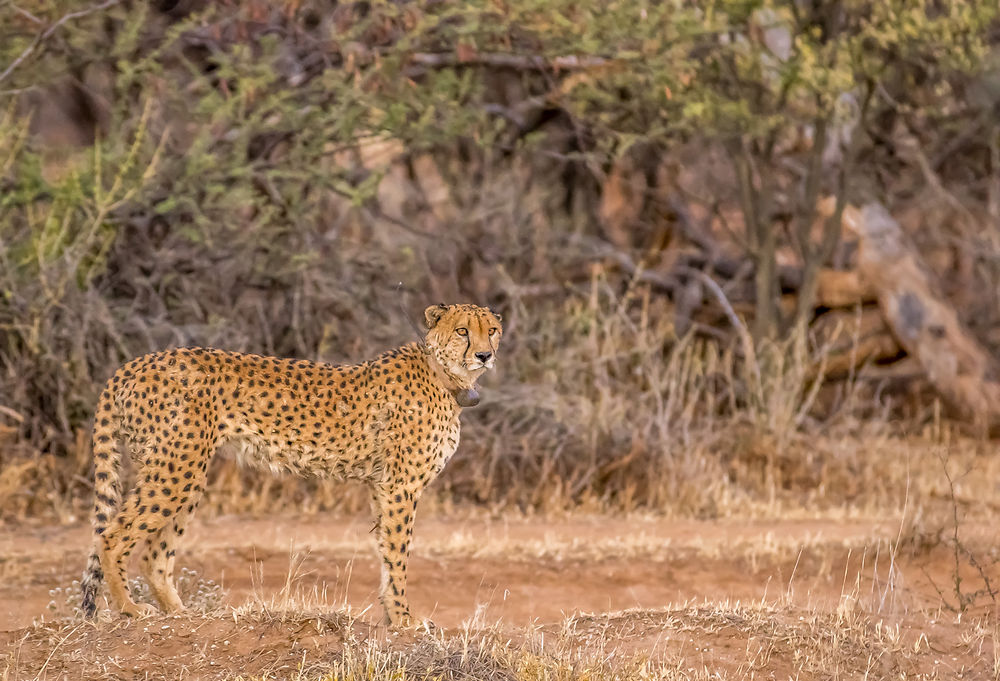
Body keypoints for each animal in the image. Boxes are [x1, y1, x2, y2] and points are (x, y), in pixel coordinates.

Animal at [79, 304, 504, 628]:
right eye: (463, 331)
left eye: (493, 331)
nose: (485, 355)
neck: (445, 374)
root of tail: (133, 363)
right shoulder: (401, 486)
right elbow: (398, 556)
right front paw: (404, 619)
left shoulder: (382, 486)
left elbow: (386, 551)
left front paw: (391, 616)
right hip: (175, 467)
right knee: (111, 536)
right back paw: (130, 609)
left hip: (185, 472)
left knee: (154, 552)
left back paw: (179, 613)